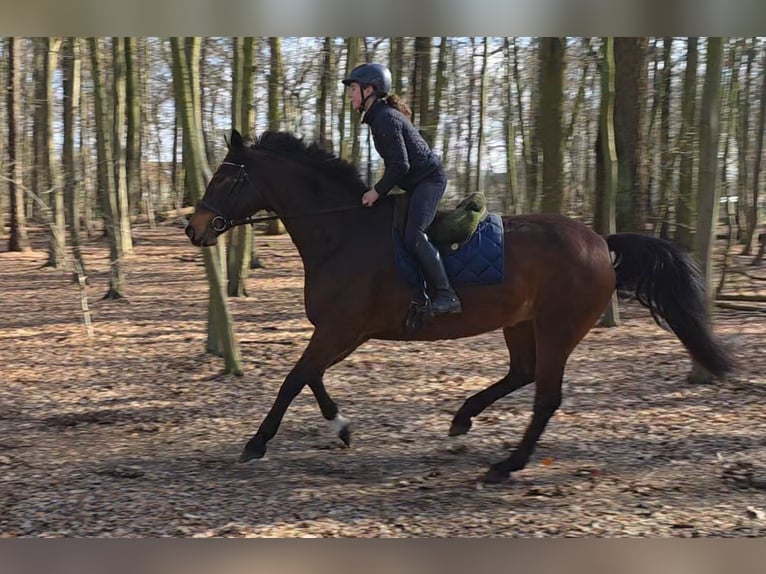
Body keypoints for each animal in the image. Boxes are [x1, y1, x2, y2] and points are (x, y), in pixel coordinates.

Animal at [185, 129, 733, 484]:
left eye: (226, 178)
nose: (194, 227)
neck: (341, 232)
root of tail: (601, 241)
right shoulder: (344, 332)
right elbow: (311, 377)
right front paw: (340, 428)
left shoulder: (341, 329)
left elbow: (294, 378)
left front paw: (256, 444)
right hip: (522, 323)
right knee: (522, 374)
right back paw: (461, 423)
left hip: (558, 327)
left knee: (545, 396)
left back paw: (505, 466)